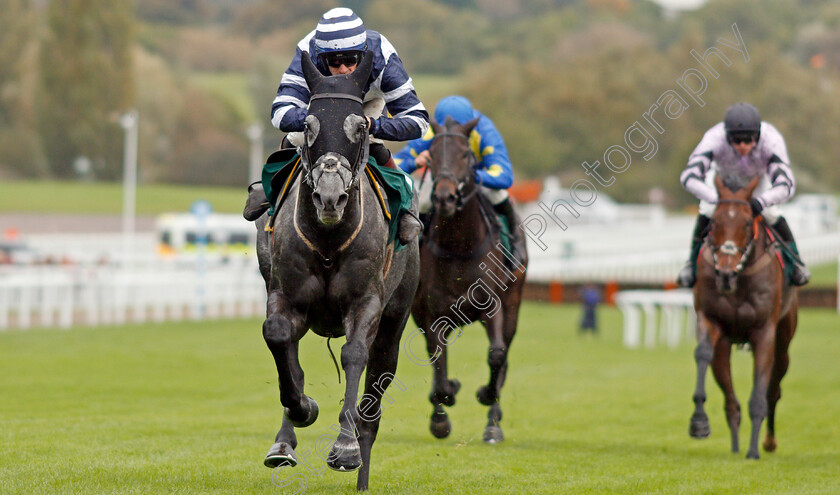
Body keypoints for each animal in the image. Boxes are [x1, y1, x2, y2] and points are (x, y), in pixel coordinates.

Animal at [260, 50, 420, 492]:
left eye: (360, 126)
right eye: (308, 125)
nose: (330, 198)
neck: (330, 241)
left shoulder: (367, 301)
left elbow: (354, 354)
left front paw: (346, 448)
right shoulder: (286, 294)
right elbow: (278, 339)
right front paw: (302, 410)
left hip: (396, 317)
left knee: (379, 377)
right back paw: (284, 441)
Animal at [412, 117, 528, 446]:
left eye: (466, 154)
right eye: (432, 154)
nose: (444, 197)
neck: (459, 247)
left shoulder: (494, 308)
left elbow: (497, 355)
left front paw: (485, 395)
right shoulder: (433, 315)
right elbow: (438, 364)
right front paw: (442, 414)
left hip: (513, 305)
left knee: (504, 357)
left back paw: (493, 422)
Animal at [684, 174, 796, 462]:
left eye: (747, 222)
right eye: (714, 222)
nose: (724, 274)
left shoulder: (764, 332)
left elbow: (760, 396)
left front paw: (754, 451)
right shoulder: (711, 320)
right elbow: (703, 354)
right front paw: (698, 422)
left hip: (784, 340)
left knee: (774, 389)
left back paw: (767, 442)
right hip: (725, 346)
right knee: (730, 401)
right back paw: (735, 447)